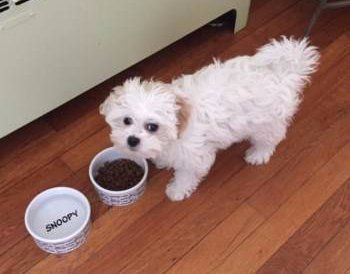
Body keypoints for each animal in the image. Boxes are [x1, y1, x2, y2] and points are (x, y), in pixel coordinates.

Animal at [100, 37, 320, 201]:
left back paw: (259, 154)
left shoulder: (195, 154)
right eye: (127, 121)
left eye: (152, 126)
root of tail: (283, 74)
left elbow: (187, 174)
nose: (132, 140)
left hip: (265, 121)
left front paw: (177, 190)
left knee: (271, 137)